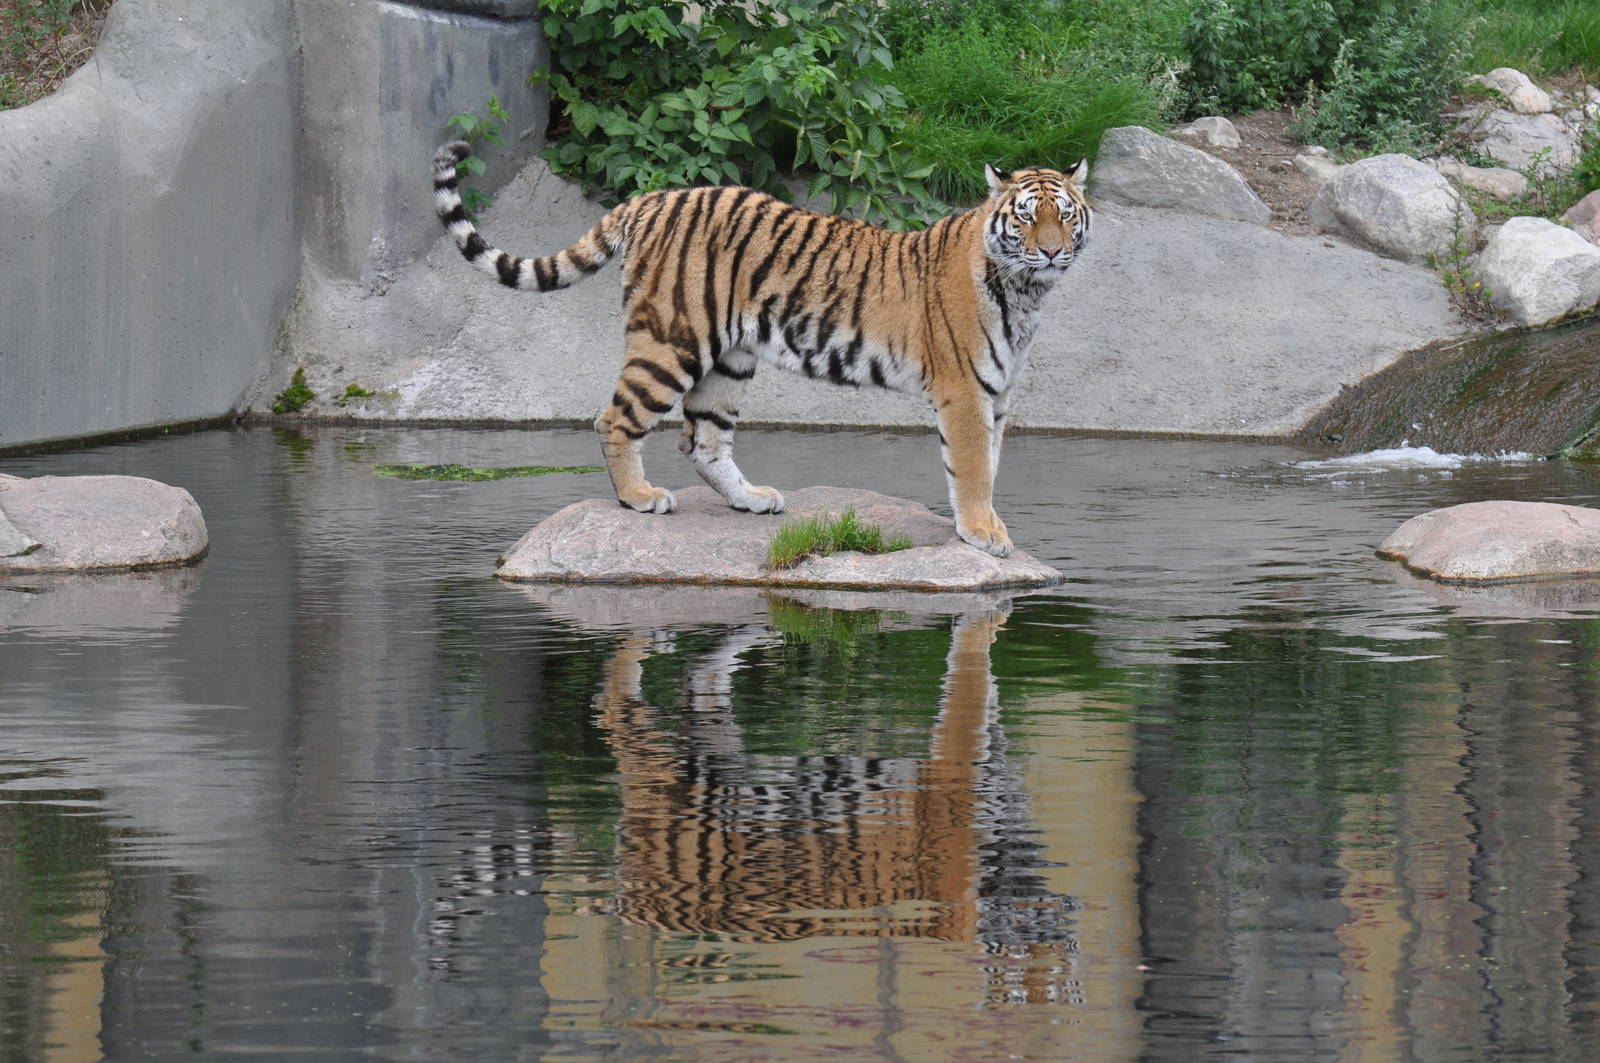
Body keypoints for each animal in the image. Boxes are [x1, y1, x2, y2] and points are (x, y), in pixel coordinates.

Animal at [430, 141, 1090, 557]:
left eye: (1065, 215)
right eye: (1026, 218)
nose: (1053, 252)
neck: (1026, 292)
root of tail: (653, 198)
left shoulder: (996, 394)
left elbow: (991, 467)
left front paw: (989, 526)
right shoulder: (964, 393)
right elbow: (974, 468)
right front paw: (984, 534)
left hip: (730, 359)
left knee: (702, 438)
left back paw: (749, 500)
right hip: (673, 340)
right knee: (616, 417)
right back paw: (639, 498)